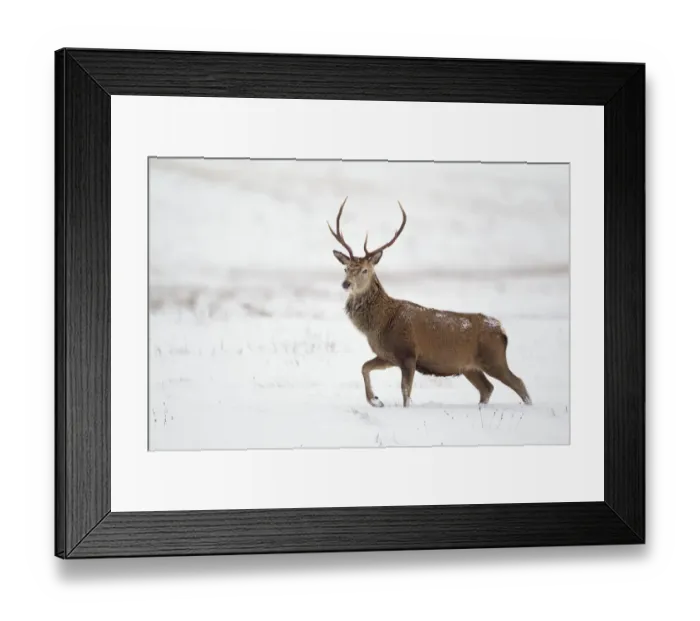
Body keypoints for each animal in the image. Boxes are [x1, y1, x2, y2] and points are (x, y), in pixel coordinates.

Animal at [327, 197, 532, 409]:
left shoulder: (408, 353)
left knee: (519, 383)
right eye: (346, 268)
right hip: (470, 367)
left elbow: (406, 392)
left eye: (365, 270)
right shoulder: (388, 355)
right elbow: (364, 367)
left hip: (494, 358)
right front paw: (375, 400)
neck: (380, 324)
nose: (346, 284)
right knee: (487, 388)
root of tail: (502, 331)